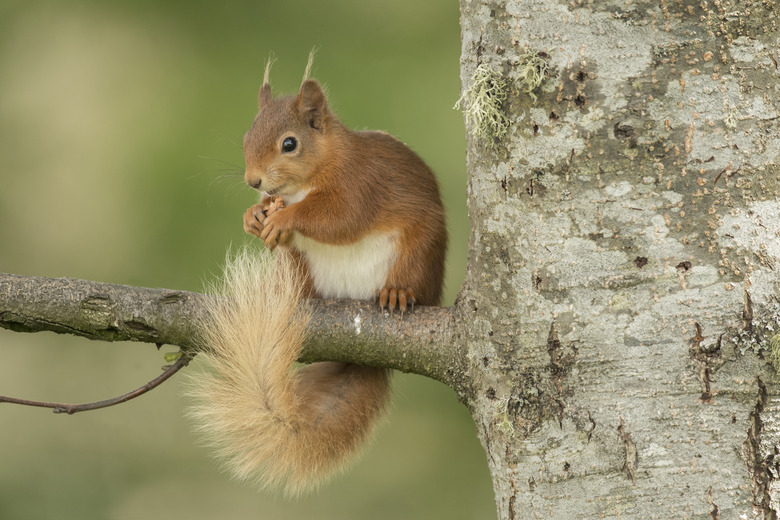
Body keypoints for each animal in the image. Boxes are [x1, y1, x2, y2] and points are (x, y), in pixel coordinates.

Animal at [186, 67, 448, 494]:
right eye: (246, 136)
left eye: (289, 144)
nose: (253, 181)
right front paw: (254, 216)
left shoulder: (361, 184)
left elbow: (340, 217)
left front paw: (284, 217)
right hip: (298, 265)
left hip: (419, 254)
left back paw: (397, 292)